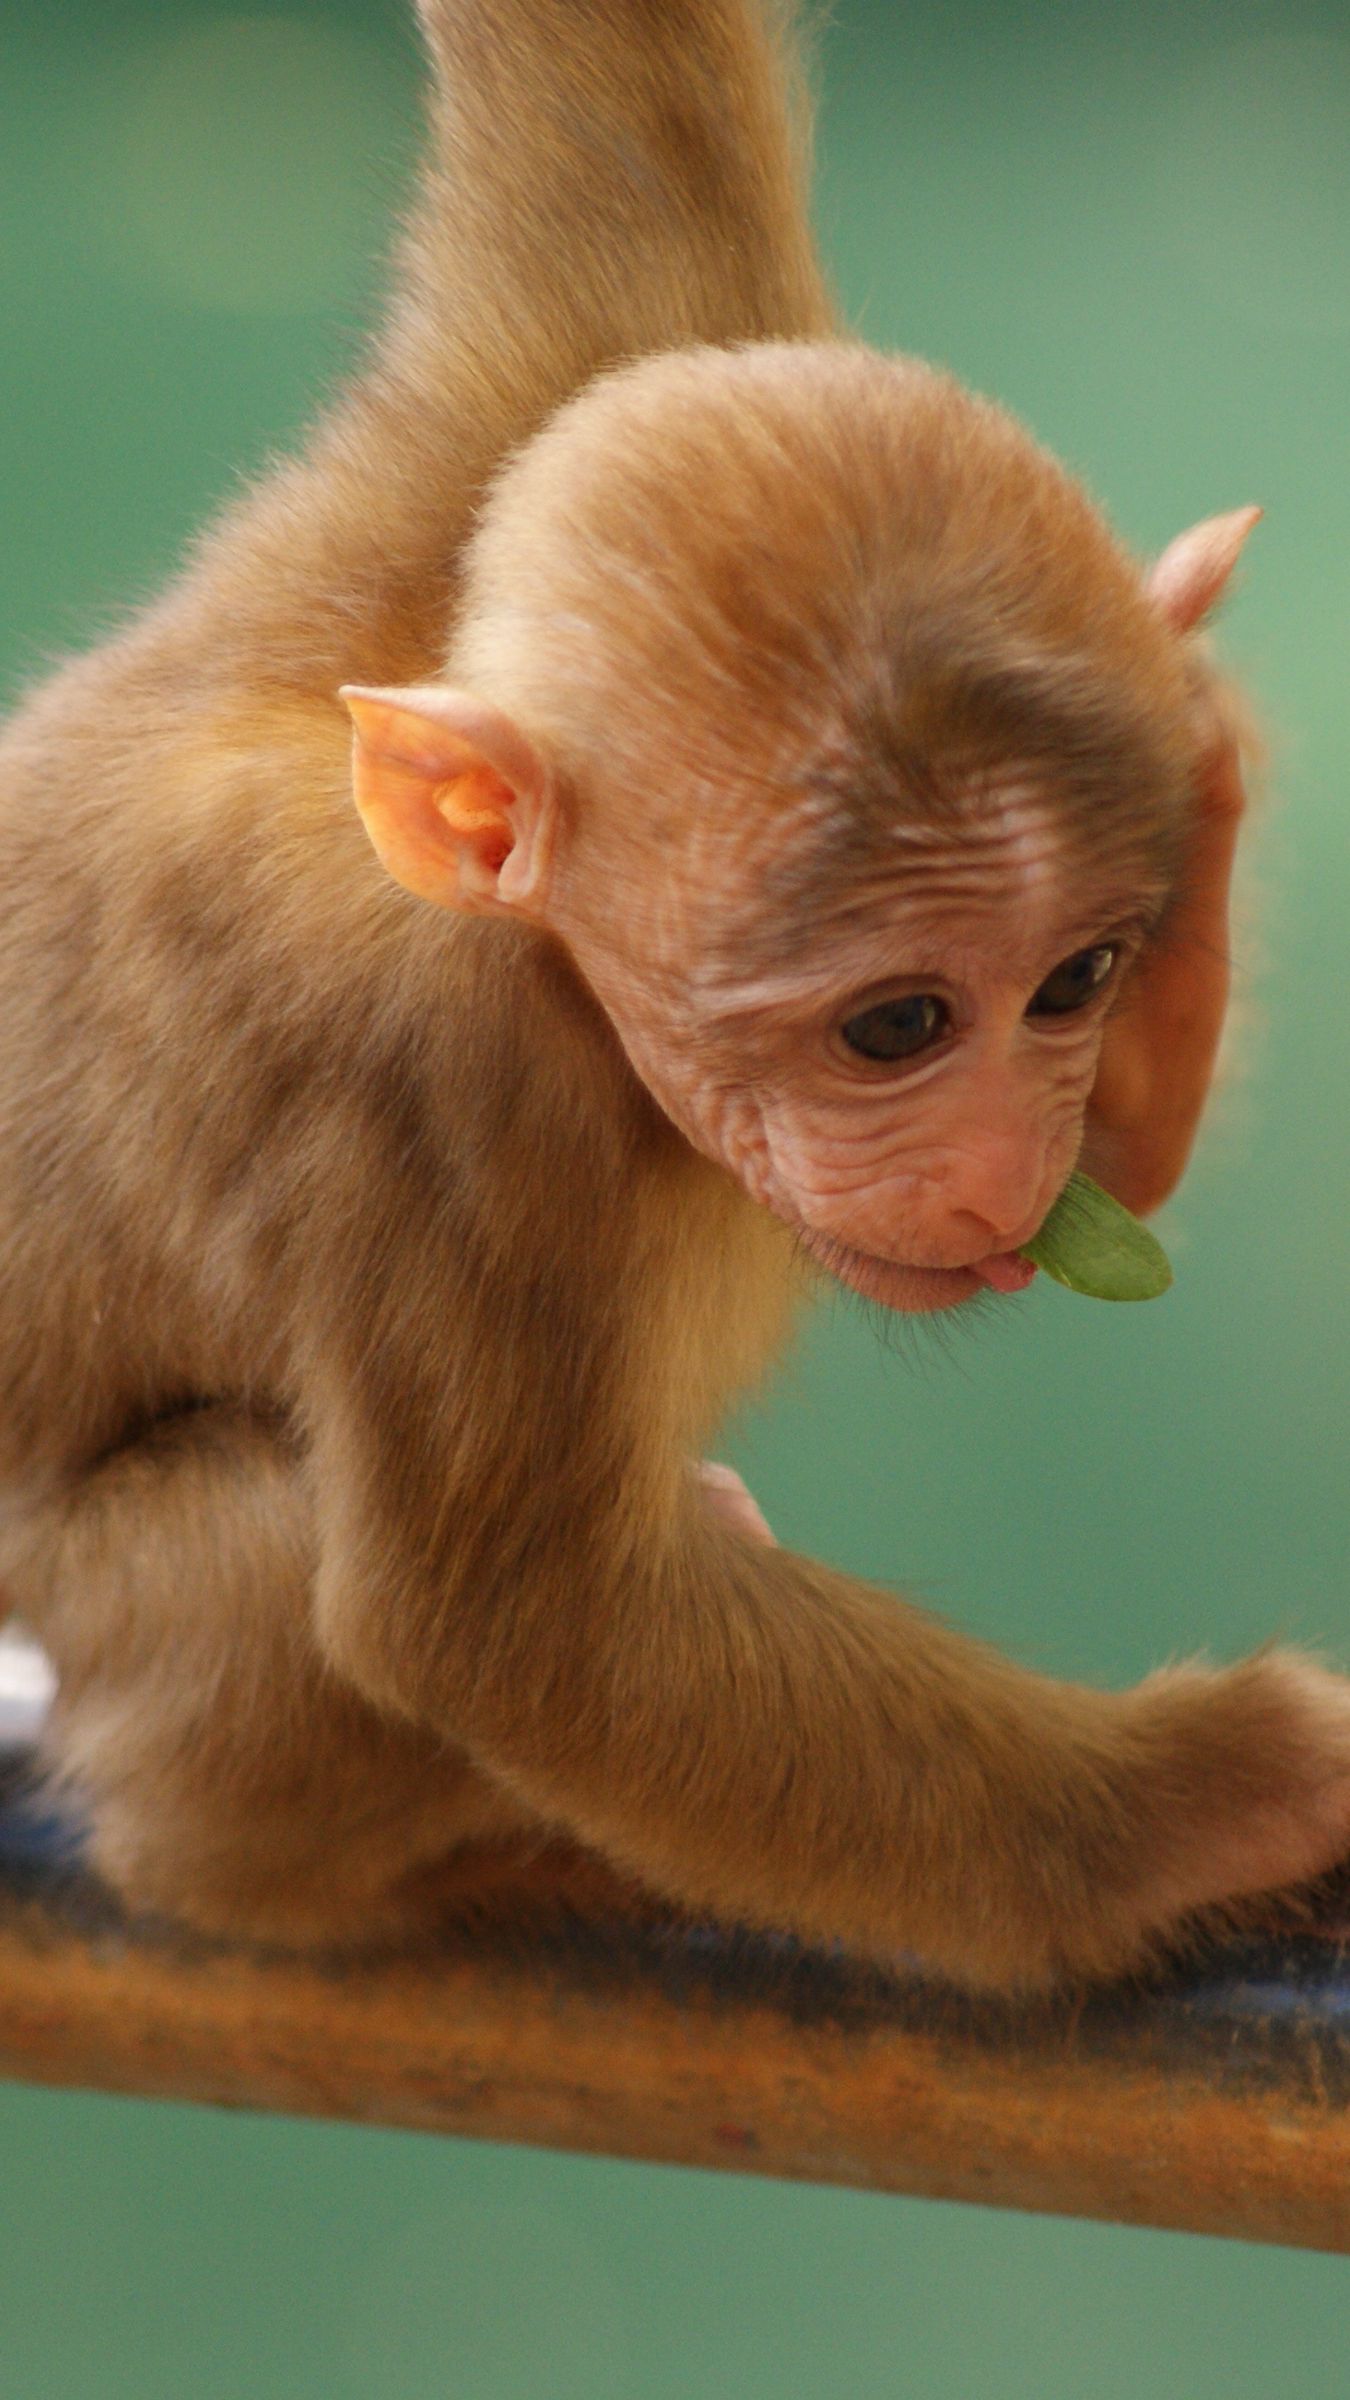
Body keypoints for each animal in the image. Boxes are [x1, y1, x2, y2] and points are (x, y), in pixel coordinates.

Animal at [0, 0, 1346, 1997]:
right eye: (895, 1026)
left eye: (1078, 981)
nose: (998, 1167)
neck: (557, 962)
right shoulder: (438, 1096)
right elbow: (519, 1627)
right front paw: (1217, 1800)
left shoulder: (583, 366)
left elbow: (602, 87)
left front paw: (1201, 720)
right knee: (263, 1561)